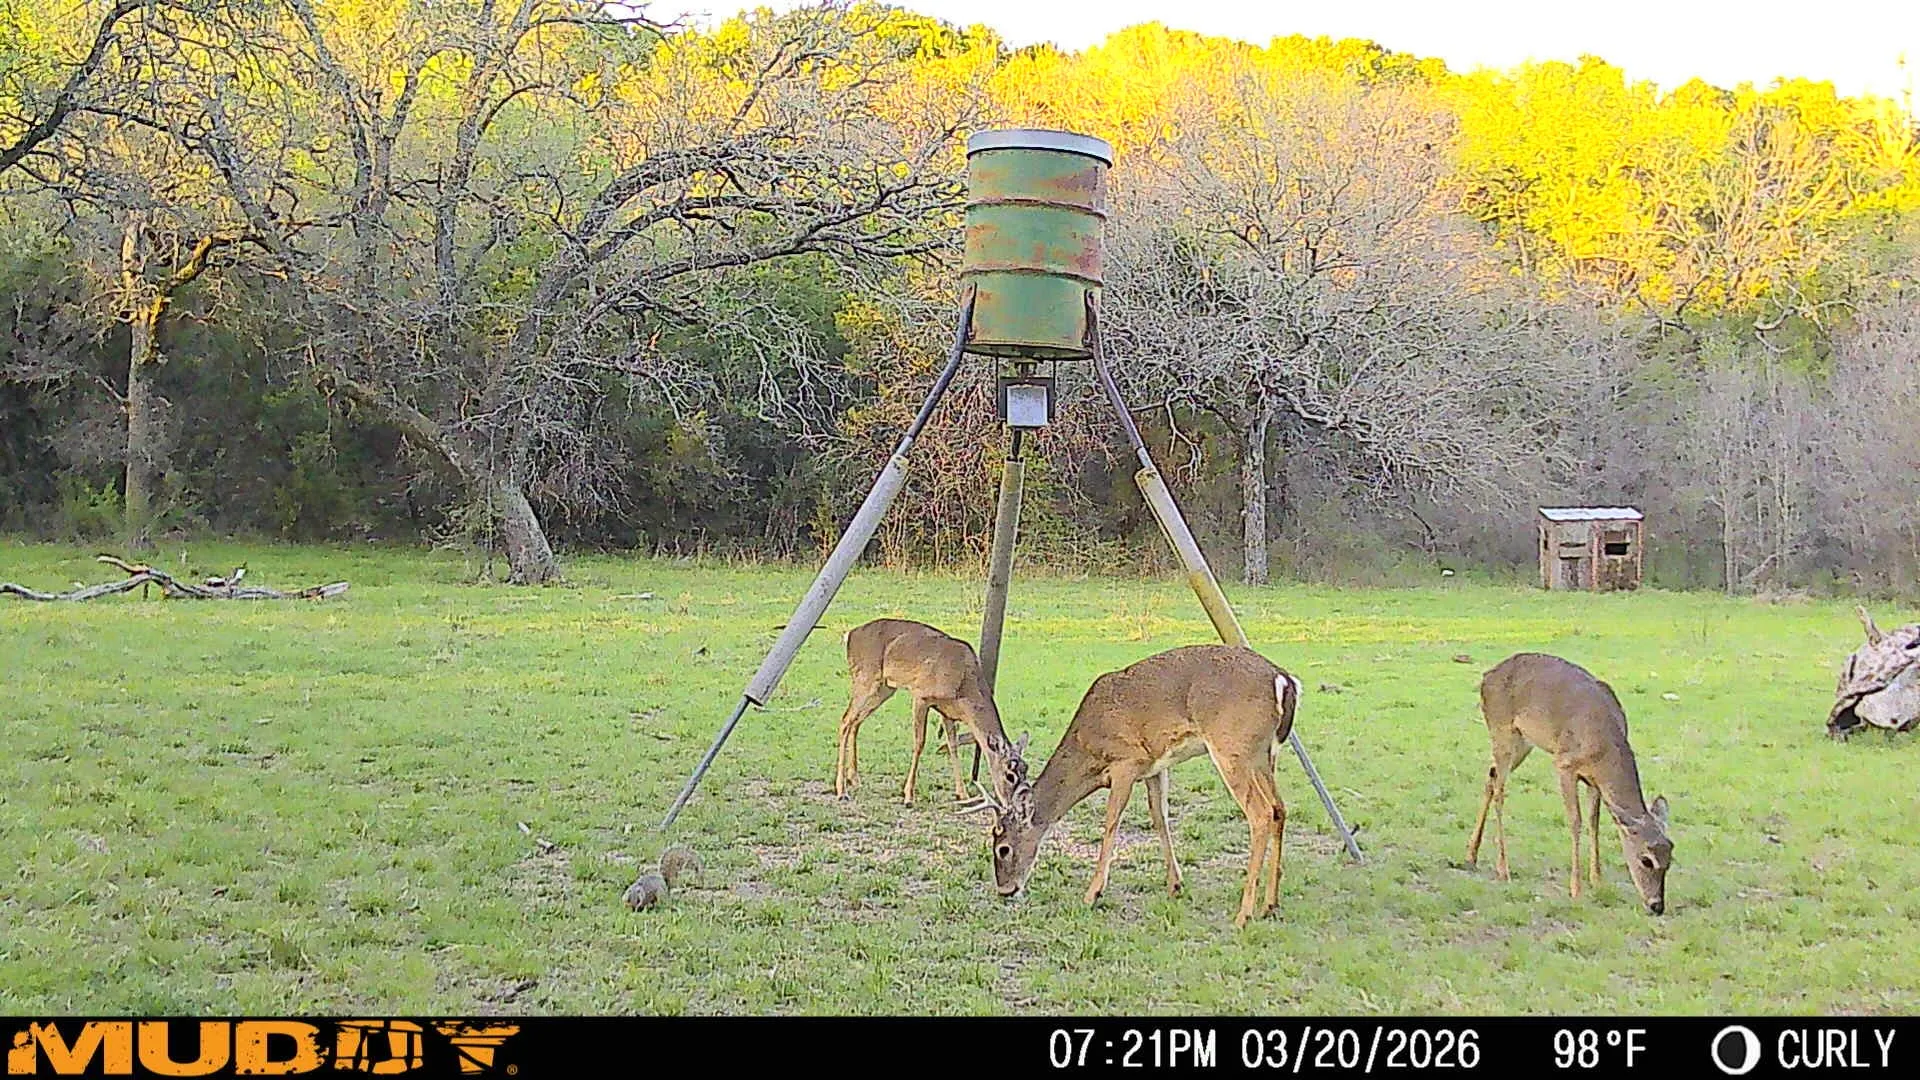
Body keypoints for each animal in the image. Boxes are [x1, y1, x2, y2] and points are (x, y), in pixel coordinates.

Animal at [835, 618, 1029, 807]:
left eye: (1026, 769)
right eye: (1009, 775)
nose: (1012, 805)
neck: (964, 685)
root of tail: (850, 634)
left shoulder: (948, 711)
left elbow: (953, 746)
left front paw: (963, 794)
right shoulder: (921, 695)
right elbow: (919, 742)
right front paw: (908, 796)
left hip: (884, 687)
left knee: (855, 722)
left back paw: (854, 779)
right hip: (865, 677)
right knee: (845, 720)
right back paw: (841, 790)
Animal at [960, 644, 1300, 928]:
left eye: (1003, 848)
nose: (1005, 890)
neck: (1088, 749)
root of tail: (1283, 680)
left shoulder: (1126, 761)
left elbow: (1111, 822)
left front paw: (1092, 893)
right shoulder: (1155, 767)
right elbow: (1160, 818)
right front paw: (1175, 885)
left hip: (1232, 747)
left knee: (1260, 813)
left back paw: (1243, 915)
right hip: (1264, 755)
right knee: (1279, 809)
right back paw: (1270, 904)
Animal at [1466, 652, 1673, 915]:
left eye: (1669, 859)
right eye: (1646, 860)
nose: (1657, 905)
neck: (1603, 747)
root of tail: (1486, 676)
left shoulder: (1594, 782)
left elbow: (1594, 822)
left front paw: (1597, 880)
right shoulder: (1565, 764)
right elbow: (1576, 821)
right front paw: (1576, 889)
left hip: (1523, 742)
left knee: (1490, 778)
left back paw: (1471, 854)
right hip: (1501, 730)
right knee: (1500, 791)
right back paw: (1503, 869)